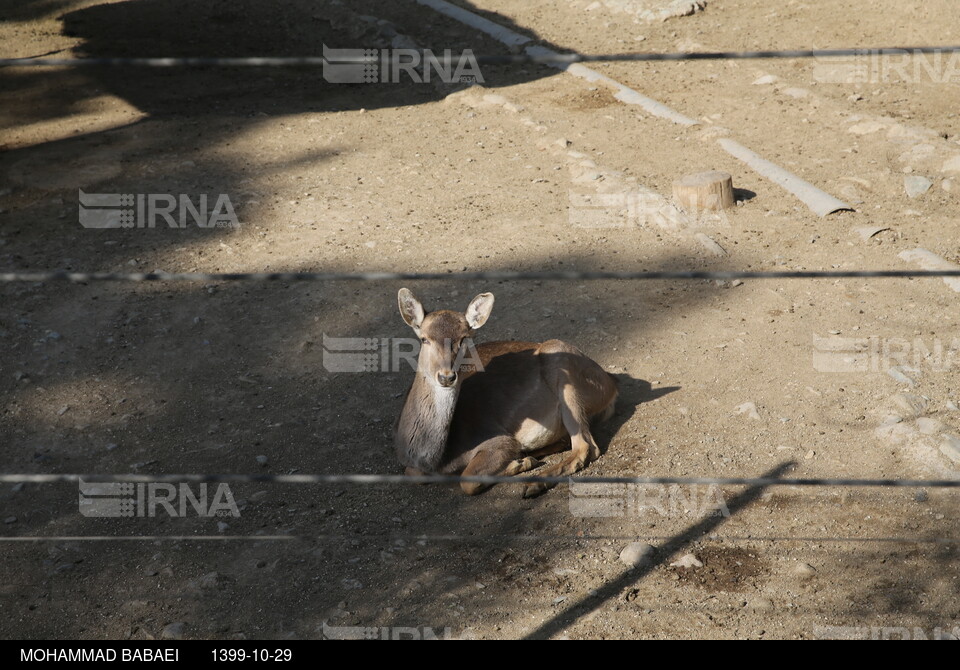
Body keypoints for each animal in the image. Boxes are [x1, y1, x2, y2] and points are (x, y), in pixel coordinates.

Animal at [394, 288, 620, 498]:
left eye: (464, 338)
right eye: (424, 339)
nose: (446, 376)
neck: (437, 458)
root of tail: (611, 384)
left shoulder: (496, 438)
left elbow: (468, 480)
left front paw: (520, 463)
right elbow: (413, 474)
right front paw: (522, 460)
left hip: (566, 374)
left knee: (586, 447)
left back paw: (532, 483)